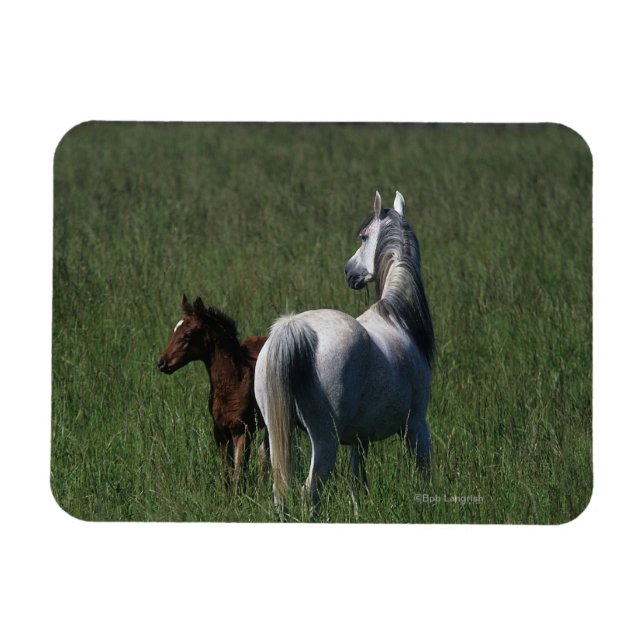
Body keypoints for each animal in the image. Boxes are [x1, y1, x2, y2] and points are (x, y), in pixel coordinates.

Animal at [157, 295, 268, 487]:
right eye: (174, 330)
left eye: (188, 334)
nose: (161, 363)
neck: (234, 383)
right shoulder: (220, 433)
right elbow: (227, 476)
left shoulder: (243, 432)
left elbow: (239, 475)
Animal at [254, 190, 434, 515]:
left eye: (363, 237)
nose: (349, 271)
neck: (397, 317)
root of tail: (294, 327)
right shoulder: (417, 427)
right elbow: (423, 476)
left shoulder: (358, 440)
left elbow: (357, 487)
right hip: (325, 440)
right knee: (309, 493)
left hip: (277, 434)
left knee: (280, 492)